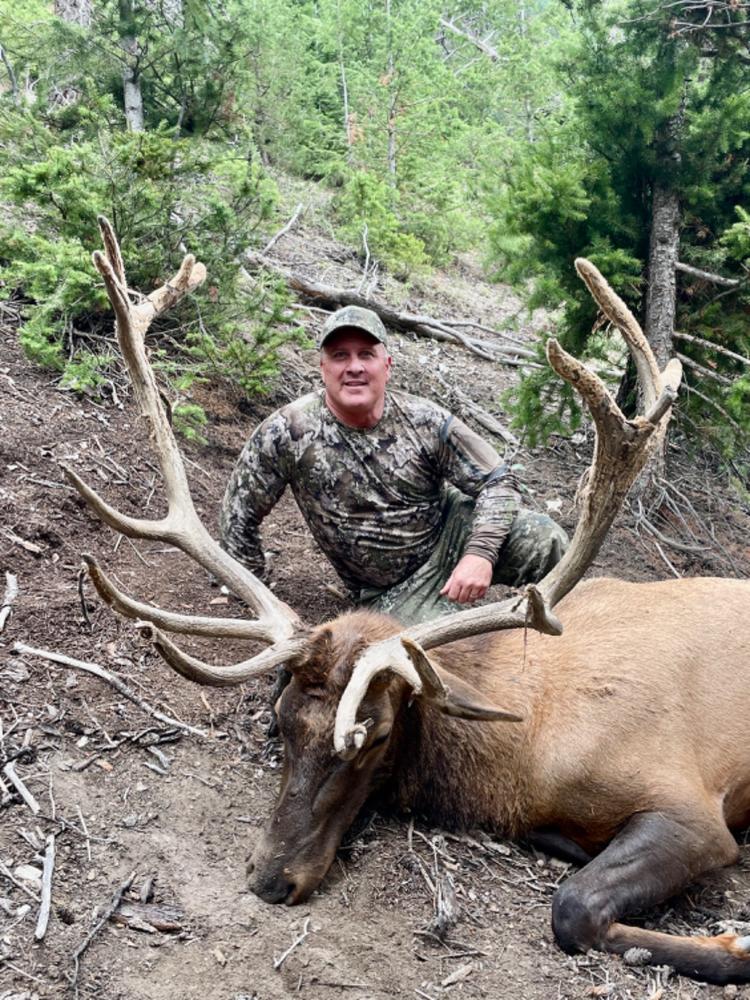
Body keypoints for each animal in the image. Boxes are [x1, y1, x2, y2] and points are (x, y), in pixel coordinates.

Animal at [66, 217, 750, 984]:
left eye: (376, 733)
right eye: (281, 722)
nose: (270, 879)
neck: (519, 757)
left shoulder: (693, 806)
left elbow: (573, 907)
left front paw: (735, 942)